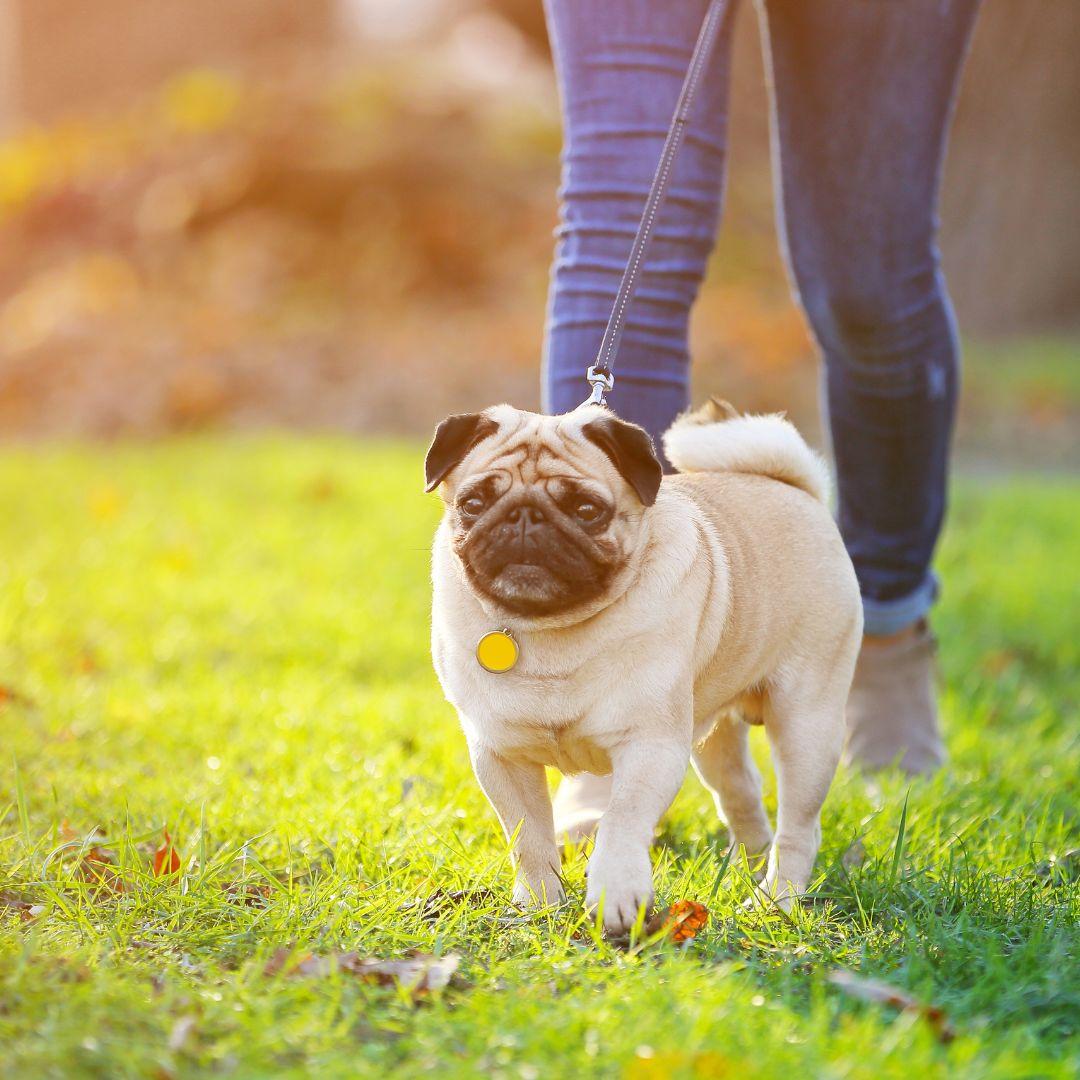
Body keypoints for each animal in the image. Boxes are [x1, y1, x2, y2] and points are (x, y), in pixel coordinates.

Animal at [425, 401, 855, 933]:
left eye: (587, 510)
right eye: (474, 502)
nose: (525, 516)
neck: (550, 629)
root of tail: (797, 489)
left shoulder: (650, 746)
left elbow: (622, 820)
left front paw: (615, 894)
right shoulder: (502, 754)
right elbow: (529, 838)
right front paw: (539, 905)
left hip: (806, 726)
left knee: (799, 826)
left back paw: (775, 900)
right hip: (715, 743)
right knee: (743, 797)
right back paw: (746, 871)